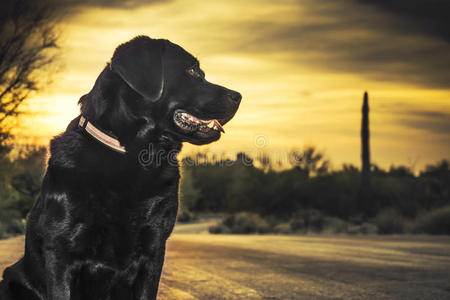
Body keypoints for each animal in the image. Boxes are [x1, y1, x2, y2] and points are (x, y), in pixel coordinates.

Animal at [0, 36, 241, 298]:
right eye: (192, 71)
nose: (238, 96)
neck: (137, 155)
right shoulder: (60, 252)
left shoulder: (153, 249)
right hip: (10, 279)